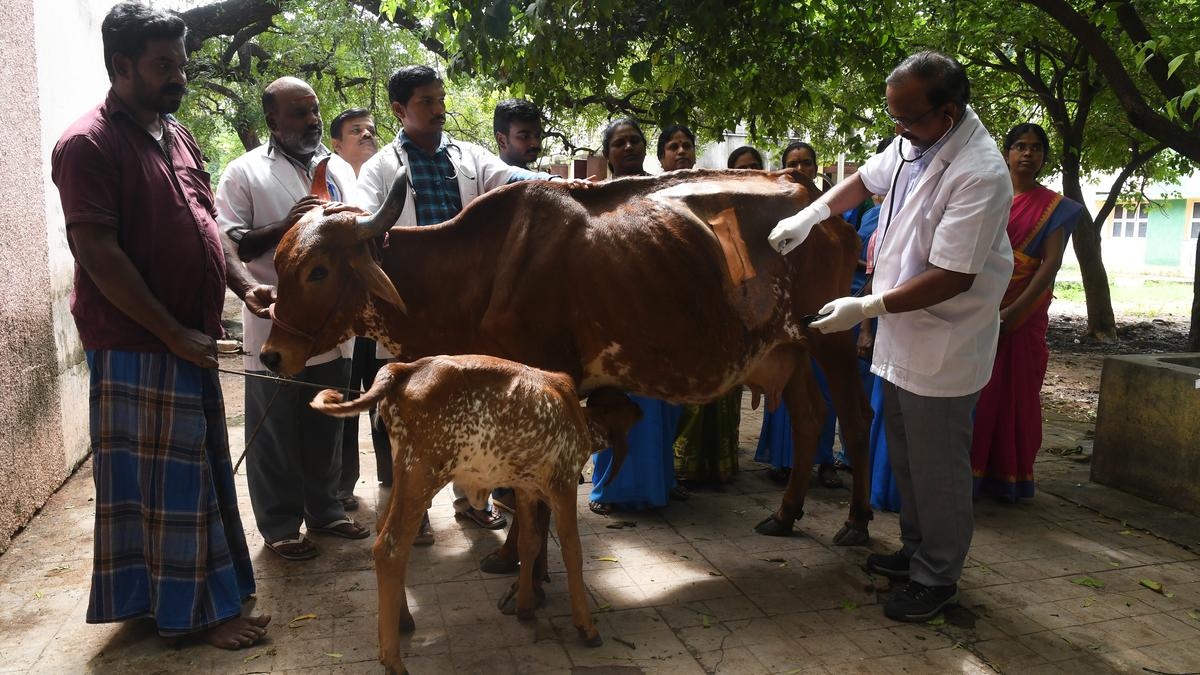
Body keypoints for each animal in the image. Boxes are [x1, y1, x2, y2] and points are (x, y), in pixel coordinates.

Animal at [312, 355, 648, 667]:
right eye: (629, 409)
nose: (643, 410)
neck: (580, 419)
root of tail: (405, 368)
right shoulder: (563, 483)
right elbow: (572, 550)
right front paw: (586, 626)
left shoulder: (526, 488)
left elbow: (530, 541)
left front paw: (525, 606)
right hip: (423, 473)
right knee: (390, 548)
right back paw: (393, 661)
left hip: (406, 472)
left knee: (385, 530)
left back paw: (403, 619)